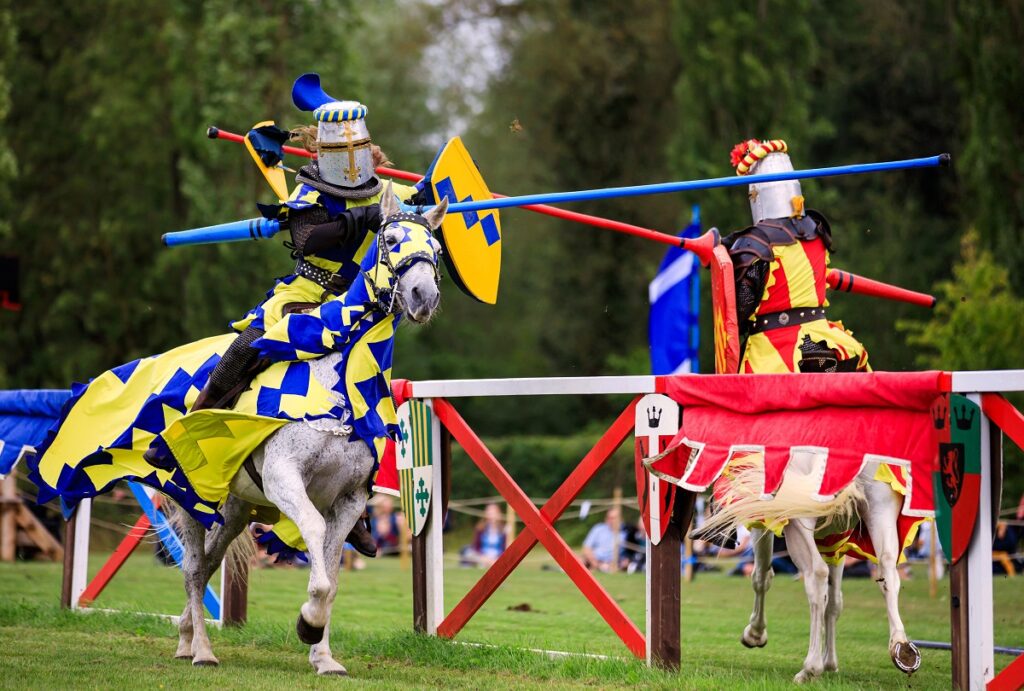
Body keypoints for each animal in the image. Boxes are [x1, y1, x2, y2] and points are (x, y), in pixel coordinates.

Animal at [171, 189, 444, 675]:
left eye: (436, 251)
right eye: (391, 239)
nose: (423, 296)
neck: (337, 383)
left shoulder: (350, 499)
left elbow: (332, 571)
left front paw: (323, 652)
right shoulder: (285, 479)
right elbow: (316, 546)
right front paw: (307, 624)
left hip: (238, 506)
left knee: (210, 562)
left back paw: (187, 637)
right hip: (193, 498)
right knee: (193, 568)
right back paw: (201, 649)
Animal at [700, 450, 925, 683]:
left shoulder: (764, 518)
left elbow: (761, 577)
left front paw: (755, 634)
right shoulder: (835, 542)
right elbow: (834, 602)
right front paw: (830, 663)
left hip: (799, 517)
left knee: (816, 574)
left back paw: (810, 667)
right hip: (880, 510)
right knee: (888, 570)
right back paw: (901, 647)